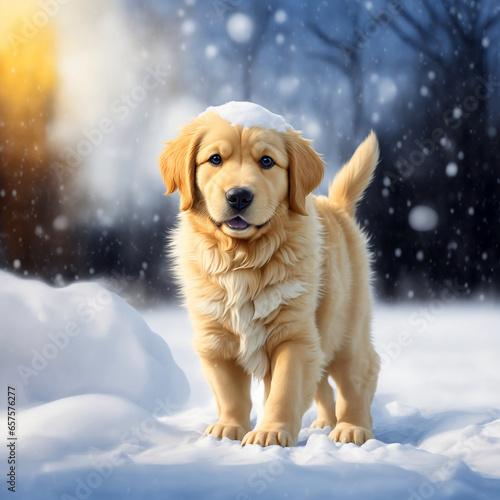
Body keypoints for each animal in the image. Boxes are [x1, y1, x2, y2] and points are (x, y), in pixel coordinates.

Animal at [158, 101, 380, 446]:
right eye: (215, 159)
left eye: (266, 161)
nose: (239, 196)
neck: (242, 259)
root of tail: (337, 207)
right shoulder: (215, 338)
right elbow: (229, 392)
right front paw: (229, 428)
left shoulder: (294, 335)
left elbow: (285, 389)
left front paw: (270, 433)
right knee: (322, 382)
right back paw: (324, 424)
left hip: (346, 327)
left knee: (358, 375)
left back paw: (351, 428)